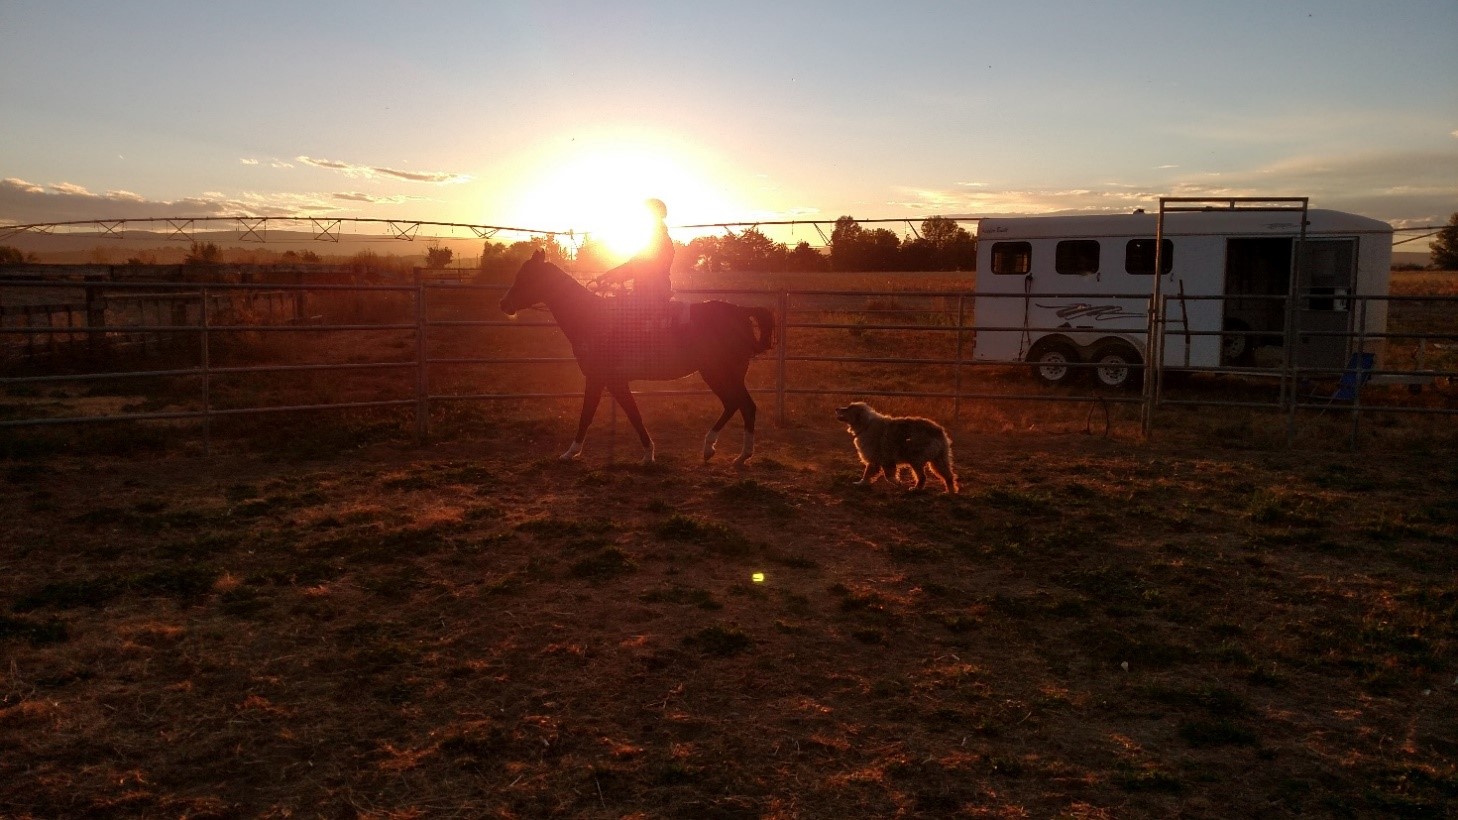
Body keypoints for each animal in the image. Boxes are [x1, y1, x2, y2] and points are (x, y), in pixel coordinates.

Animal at [499, 250, 776, 466]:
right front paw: (647, 453)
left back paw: (735, 453)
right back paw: (719, 451)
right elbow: (630, 414)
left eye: (526, 277)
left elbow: (594, 414)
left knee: (744, 405)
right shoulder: (612, 382)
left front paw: (571, 453)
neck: (593, 318)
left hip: (720, 372)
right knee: (736, 404)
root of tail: (741, 312)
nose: (504, 304)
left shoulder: (601, 379)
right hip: (720, 374)